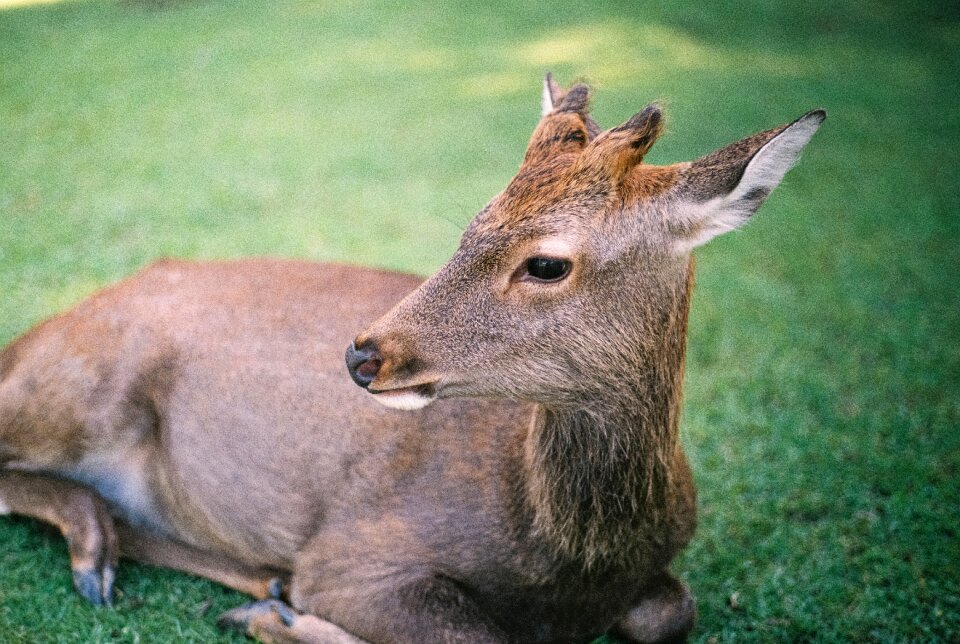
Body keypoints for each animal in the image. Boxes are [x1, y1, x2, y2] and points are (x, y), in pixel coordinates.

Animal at [1, 74, 824, 640]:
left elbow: (672, 612)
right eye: (472, 224)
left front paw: (272, 609)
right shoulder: (356, 554)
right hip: (79, 388)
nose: (362, 353)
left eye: (546, 263)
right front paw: (285, 621)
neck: (567, 562)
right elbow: (474, 635)